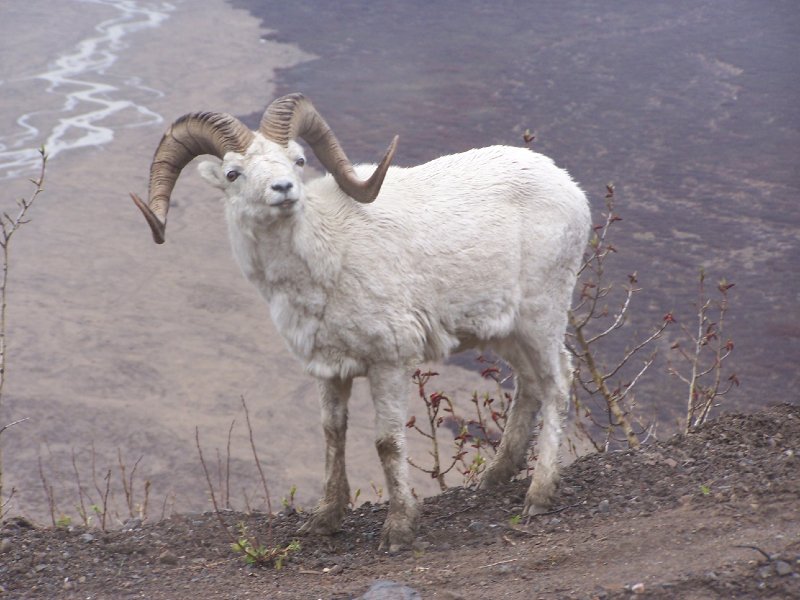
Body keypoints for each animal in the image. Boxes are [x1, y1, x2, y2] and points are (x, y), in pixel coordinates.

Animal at [131, 95, 592, 552]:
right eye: (233, 173)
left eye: (297, 160)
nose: (283, 189)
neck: (326, 258)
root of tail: (568, 186)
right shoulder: (329, 369)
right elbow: (333, 434)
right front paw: (324, 520)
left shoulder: (389, 362)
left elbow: (386, 442)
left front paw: (399, 529)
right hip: (506, 332)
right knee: (529, 385)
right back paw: (494, 478)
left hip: (541, 315)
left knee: (557, 382)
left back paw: (539, 496)